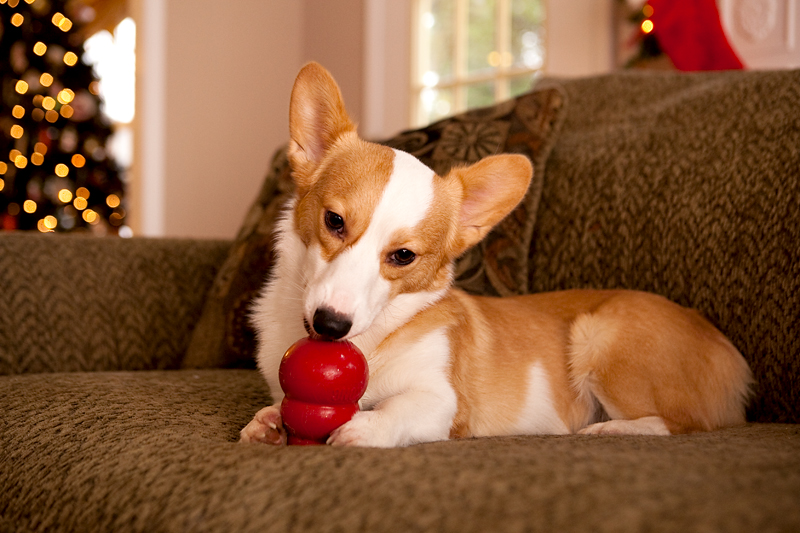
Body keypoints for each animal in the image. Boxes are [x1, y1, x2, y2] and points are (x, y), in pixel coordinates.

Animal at [241, 60, 752, 446]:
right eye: (334, 221)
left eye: (403, 256)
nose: (330, 326)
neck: (376, 338)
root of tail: (725, 347)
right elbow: (275, 407)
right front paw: (267, 422)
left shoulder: (440, 400)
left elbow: (396, 409)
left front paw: (362, 428)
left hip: (601, 338)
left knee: (680, 424)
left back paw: (608, 430)